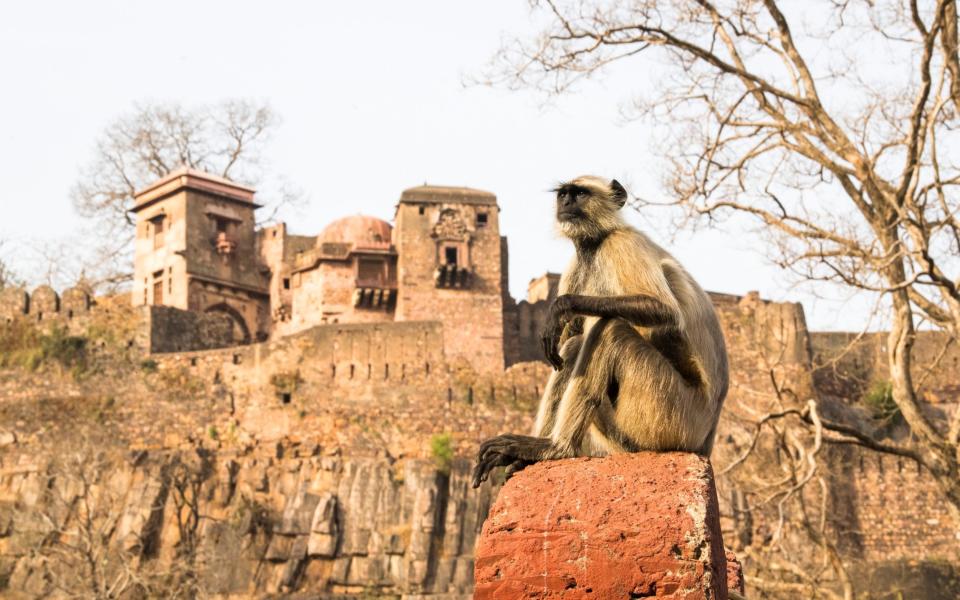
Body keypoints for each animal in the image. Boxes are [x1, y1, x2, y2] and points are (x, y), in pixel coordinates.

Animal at [470, 173, 728, 488]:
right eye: (564, 194)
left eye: (580, 194)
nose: (566, 203)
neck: (596, 243)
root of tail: (705, 442)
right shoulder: (575, 265)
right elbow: (567, 342)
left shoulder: (621, 243)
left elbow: (664, 309)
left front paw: (560, 307)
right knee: (574, 348)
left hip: (671, 416)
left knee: (610, 329)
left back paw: (557, 448)